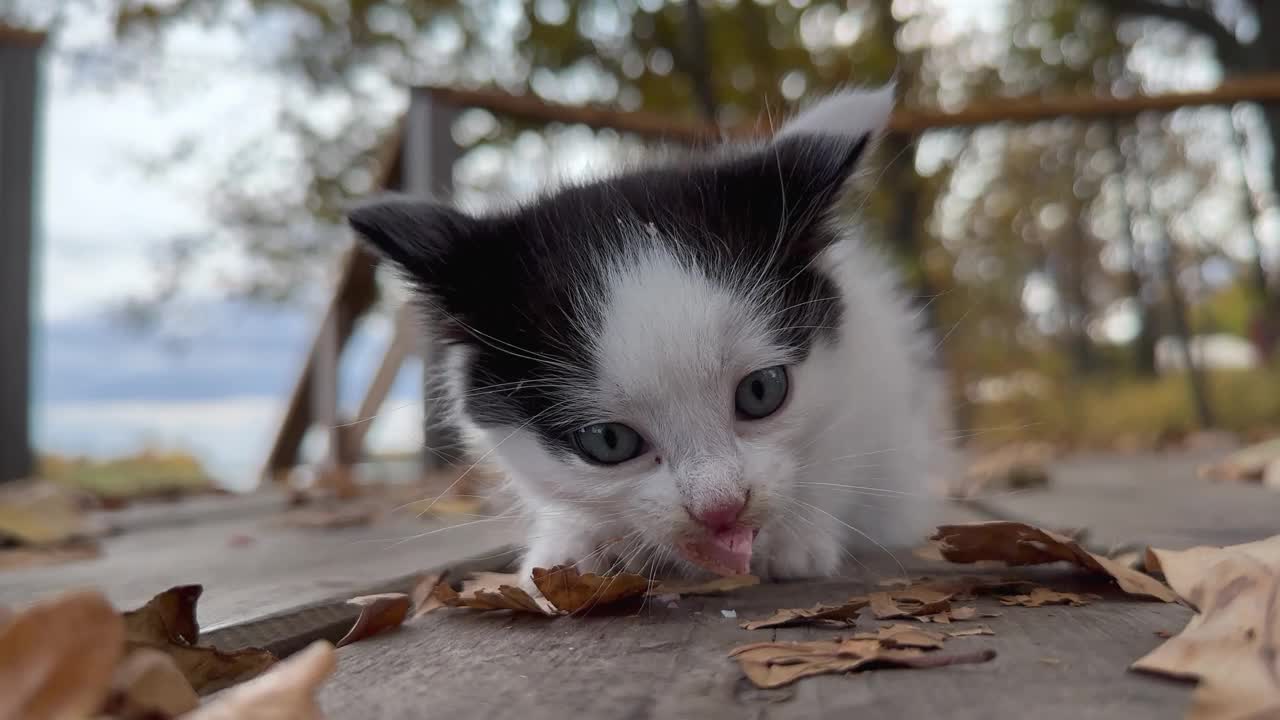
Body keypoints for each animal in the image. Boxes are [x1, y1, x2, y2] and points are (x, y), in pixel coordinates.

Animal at [348, 83, 952, 579]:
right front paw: (572, 541)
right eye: (607, 441)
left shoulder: (876, 365)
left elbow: (848, 444)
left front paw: (799, 536)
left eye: (762, 391)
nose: (720, 508)